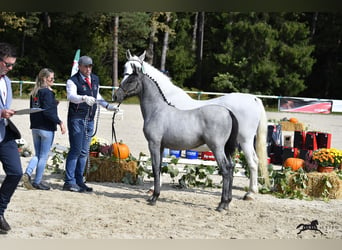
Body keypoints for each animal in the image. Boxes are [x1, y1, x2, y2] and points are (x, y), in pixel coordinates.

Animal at [113, 64, 239, 211]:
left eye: (130, 80)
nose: (115, 96)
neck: (156, 110)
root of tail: (228, 112)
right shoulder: (161, 146)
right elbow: (159, 168)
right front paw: (154, 196)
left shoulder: (154, 144)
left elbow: (155, 168)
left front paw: (154, 198)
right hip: (225, 149)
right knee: (231, 168)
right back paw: (227, 202)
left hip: (217, 148)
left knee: (225, 170)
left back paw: (221, 204)